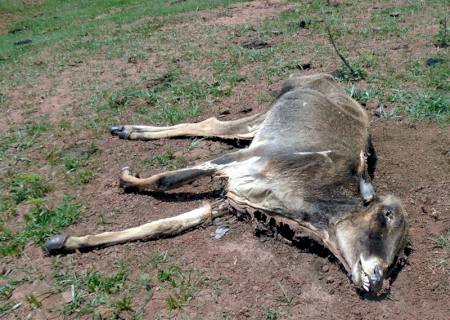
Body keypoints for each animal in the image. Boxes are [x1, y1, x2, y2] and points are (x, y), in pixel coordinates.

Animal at [44, 74, 408, 294]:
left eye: (400, 258)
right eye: (385, 216)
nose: (379, 280)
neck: (302, 202)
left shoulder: (230, 201)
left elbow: (167, 224)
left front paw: (65, 241)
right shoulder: (241, 161)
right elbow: (166, 179)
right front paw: (126, 178)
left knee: (211, 125)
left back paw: (128, 130)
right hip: (262, 120)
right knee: (212, 123)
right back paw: (127, 130)